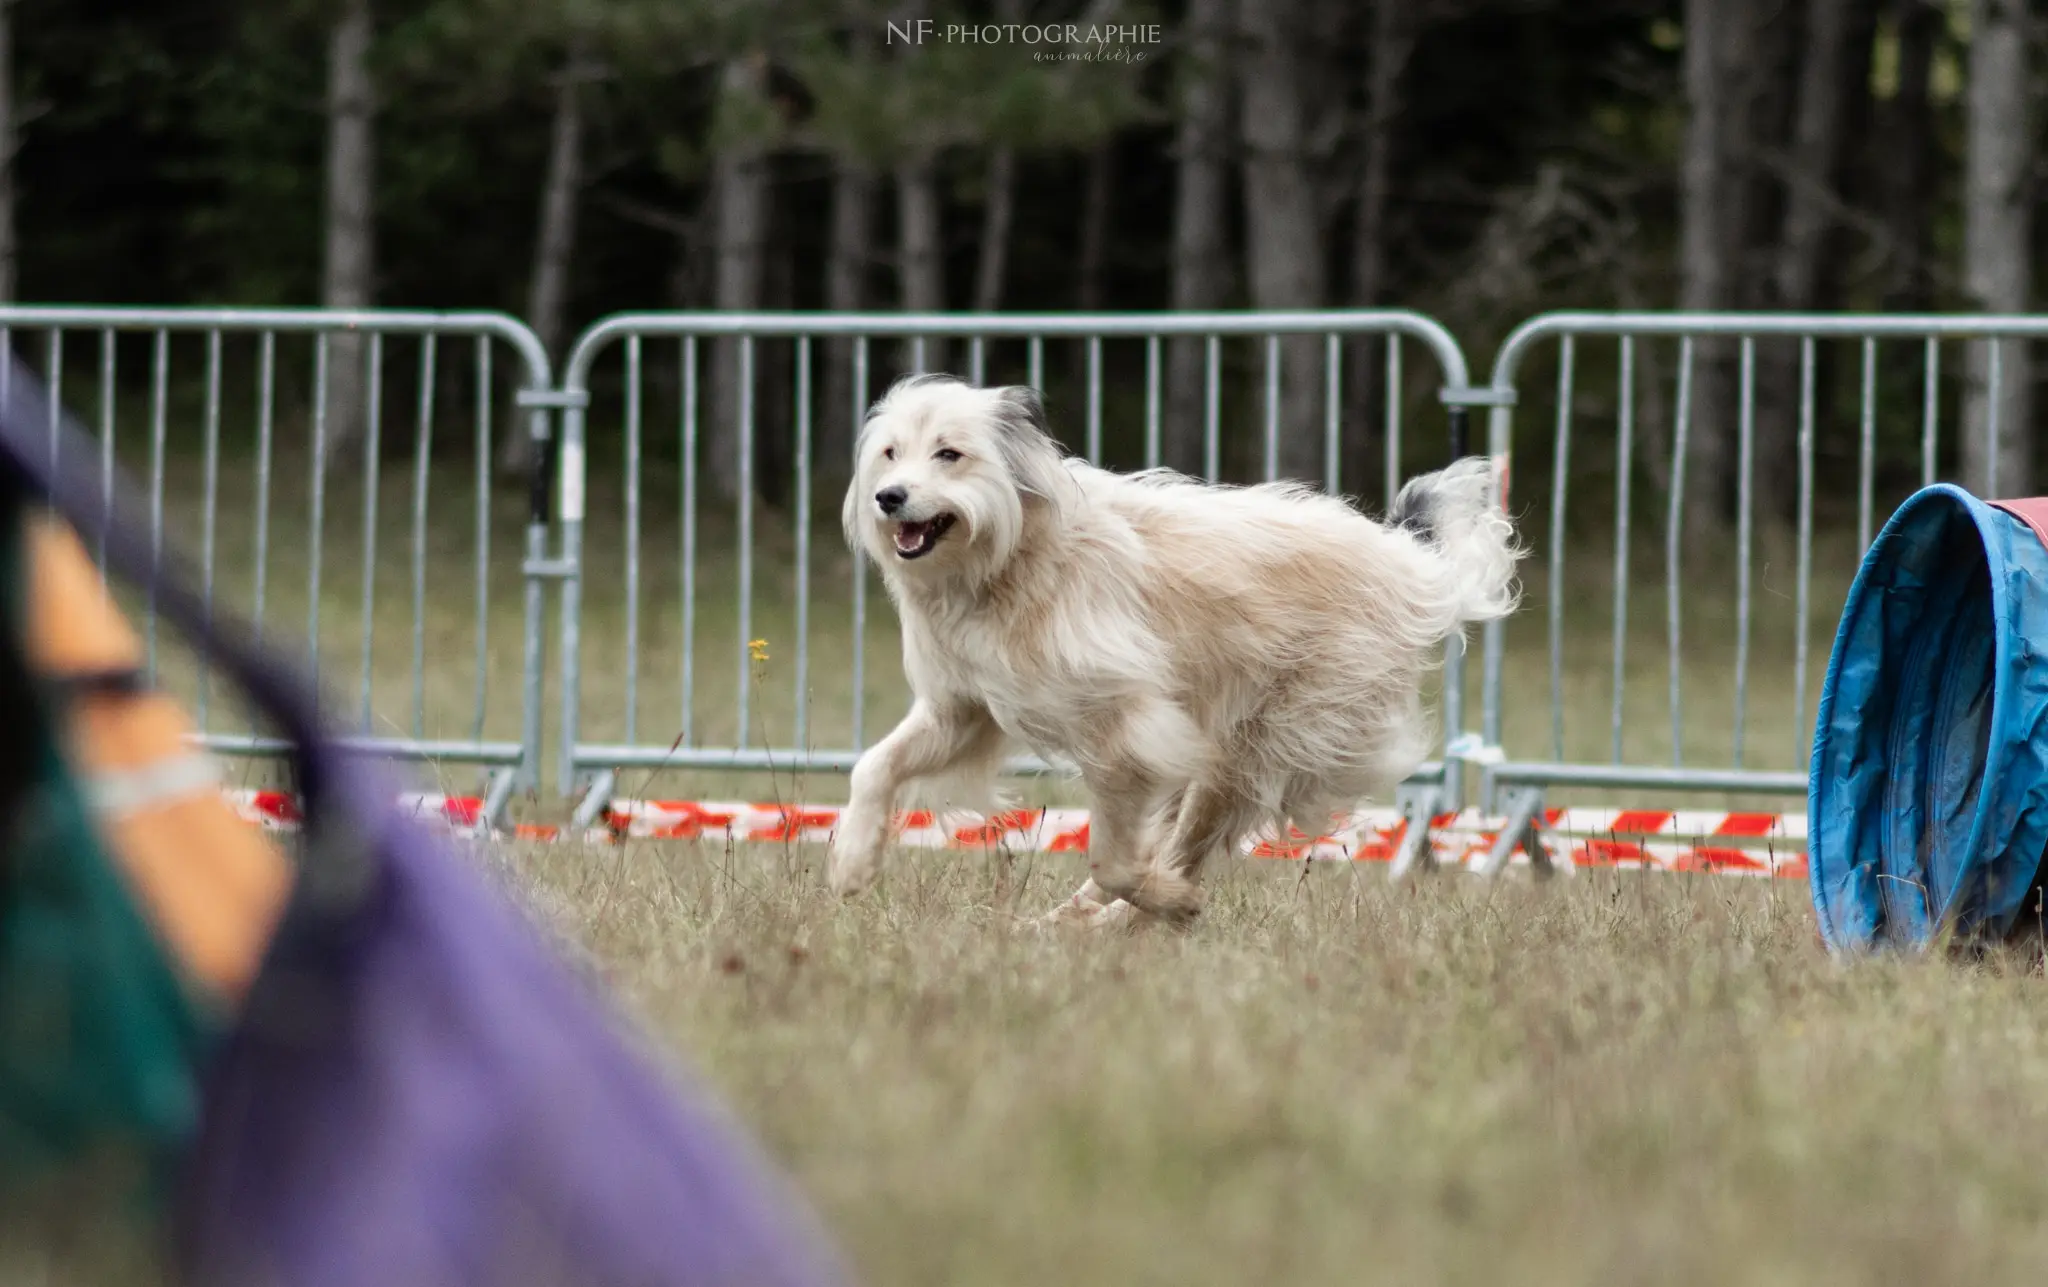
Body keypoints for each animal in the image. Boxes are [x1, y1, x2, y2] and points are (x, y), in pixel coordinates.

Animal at [831, 372, 1523, 926]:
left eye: (949, 454)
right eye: (891, 453)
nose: (888, 497)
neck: (1012, 558)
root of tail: (1405, 561)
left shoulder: (1127, 734)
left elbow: (1113, 858)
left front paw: (1171, 904)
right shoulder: (963, 712)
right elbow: (875, 766)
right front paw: (853, 861)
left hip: (1256, 745)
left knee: (1184, 848)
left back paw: (1131, 917)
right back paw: (1067, 921)